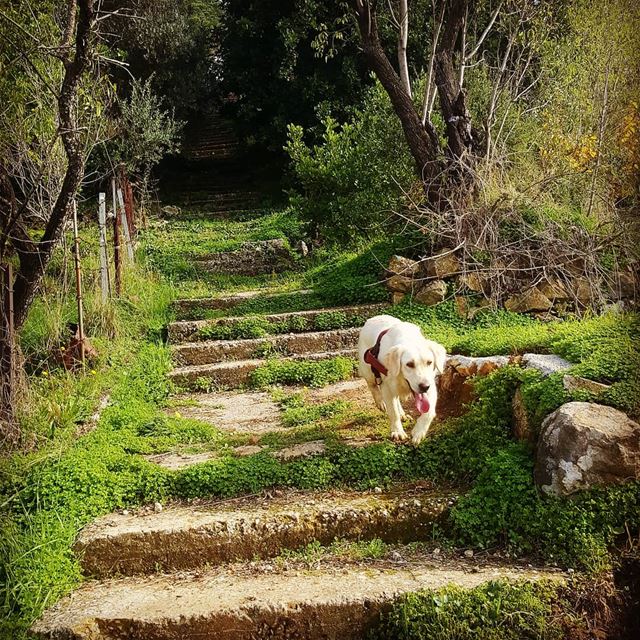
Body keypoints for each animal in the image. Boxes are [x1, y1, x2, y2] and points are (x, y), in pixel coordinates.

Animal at [360, 316, 444, 444]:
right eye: (409, 364)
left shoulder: (431, 386)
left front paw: (419, 432)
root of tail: (371, 319)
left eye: (429, 362)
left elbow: (428, 412)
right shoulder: (387, 388)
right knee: (372, 385)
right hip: (367, 369)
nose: (424, 387)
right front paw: (398, 432)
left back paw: (402, 414)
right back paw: (380, 402)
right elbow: (393, 412)